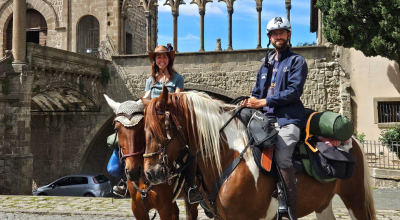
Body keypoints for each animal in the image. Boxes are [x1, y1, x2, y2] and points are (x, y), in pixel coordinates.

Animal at [142, 87, 376, 220]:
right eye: (144, 129)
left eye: (161, 128)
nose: (151, 173)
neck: (228, 156)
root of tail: (353, 140)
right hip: (323, 204)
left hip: (355, 199)